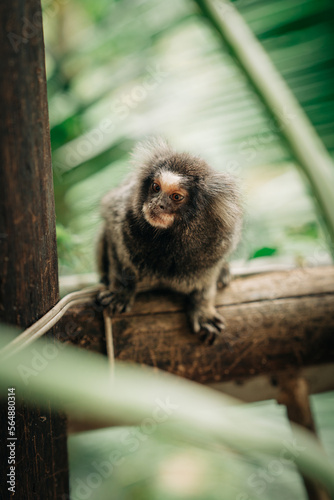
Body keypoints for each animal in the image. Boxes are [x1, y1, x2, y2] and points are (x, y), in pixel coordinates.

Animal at [96, 138, 240, 344]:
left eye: (176, 197)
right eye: (156, 187)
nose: (158, 204)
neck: (167, 238)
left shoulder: (215, 247)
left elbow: (206, 284)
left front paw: (203, 309)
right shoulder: (120, 219)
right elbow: (117, 253)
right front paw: (121, 292)